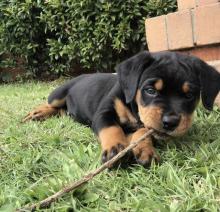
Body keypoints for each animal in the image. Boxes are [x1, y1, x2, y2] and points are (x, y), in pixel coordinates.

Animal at [22, 51, 220, 167]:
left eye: (189, 95)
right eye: (150, 90)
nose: (170, 122)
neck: (134, 109)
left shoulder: (146, 126)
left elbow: (142, 131)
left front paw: (144, 150)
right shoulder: (103, 113)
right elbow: (111, 127)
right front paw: (115, 148)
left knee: (61, 110)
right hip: (58, 93)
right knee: (51, 103)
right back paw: (37, 113)